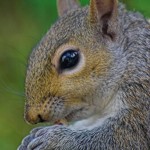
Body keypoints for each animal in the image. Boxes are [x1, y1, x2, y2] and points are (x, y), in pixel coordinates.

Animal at [18, 0, 149, 149]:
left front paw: (53, 139)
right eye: (32, 55)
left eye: (69, 59)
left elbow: (125, 137)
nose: (31, 117)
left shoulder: (141, 95)